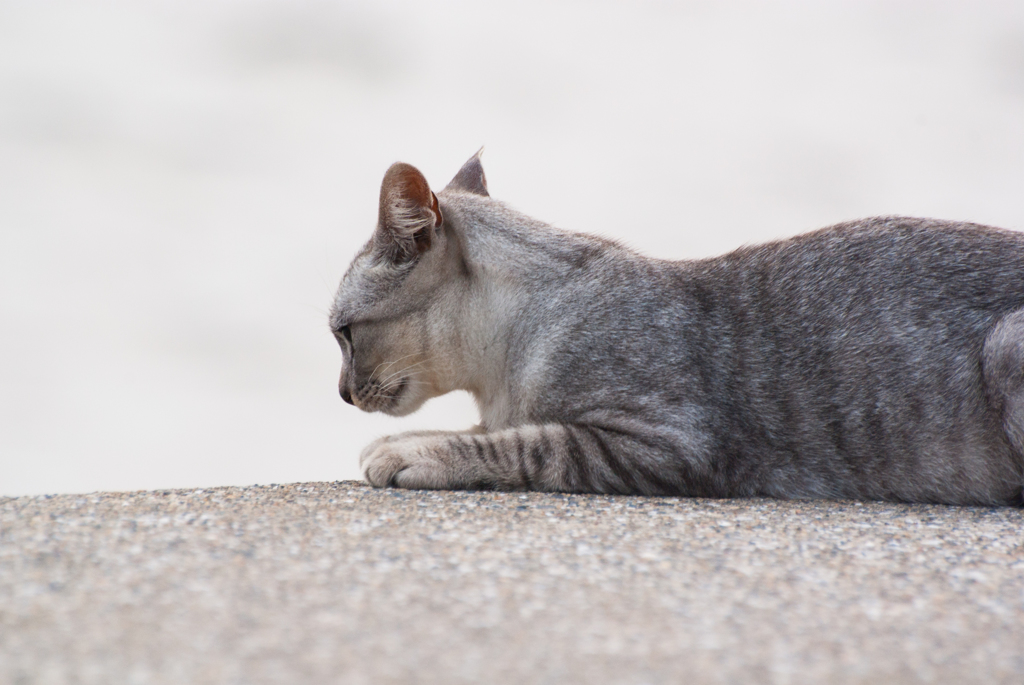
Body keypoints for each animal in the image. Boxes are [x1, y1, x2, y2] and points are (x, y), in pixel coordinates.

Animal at [327, 152, 1024, 505]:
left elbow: (523, 443)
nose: (341, 393)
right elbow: (494, 429)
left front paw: (410, 452)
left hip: (1006, 347)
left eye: (343, 334)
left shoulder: (671, 442)